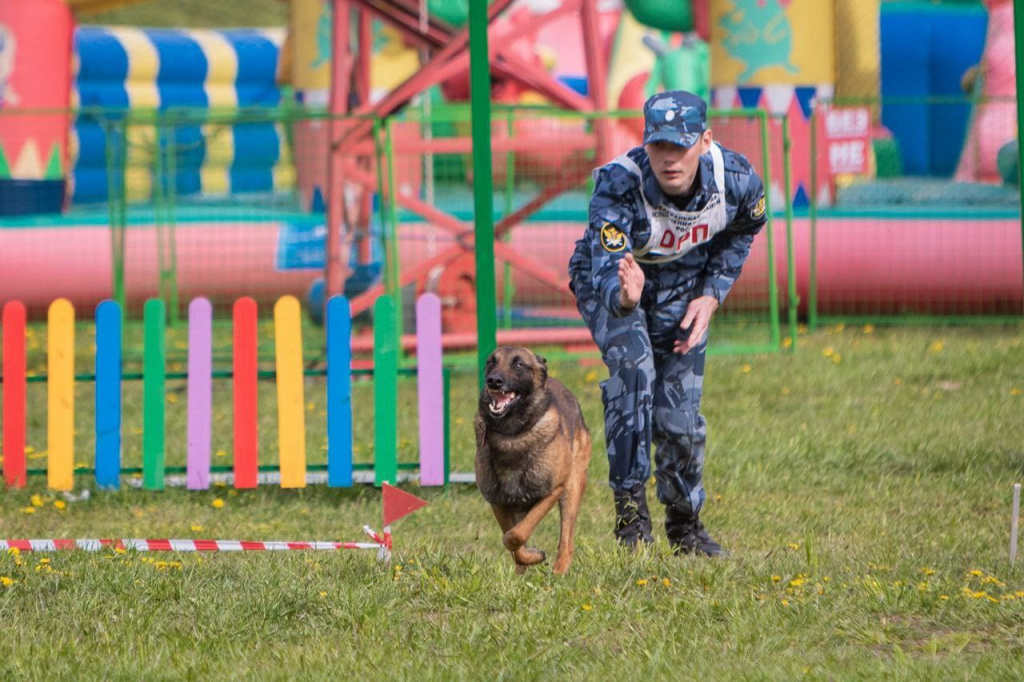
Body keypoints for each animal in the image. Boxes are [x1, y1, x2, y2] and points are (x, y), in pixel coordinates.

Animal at [473, 346, 593, 573]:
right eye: (491, 361)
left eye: (519, 365)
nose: (494, 381)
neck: (512, 435)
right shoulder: (498, 502)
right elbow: (512, 540)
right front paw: (529, 559)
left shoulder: (552, 492)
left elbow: (515, 536)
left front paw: (535, 556)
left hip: (571, 489)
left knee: (566, 540)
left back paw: (558, 571)